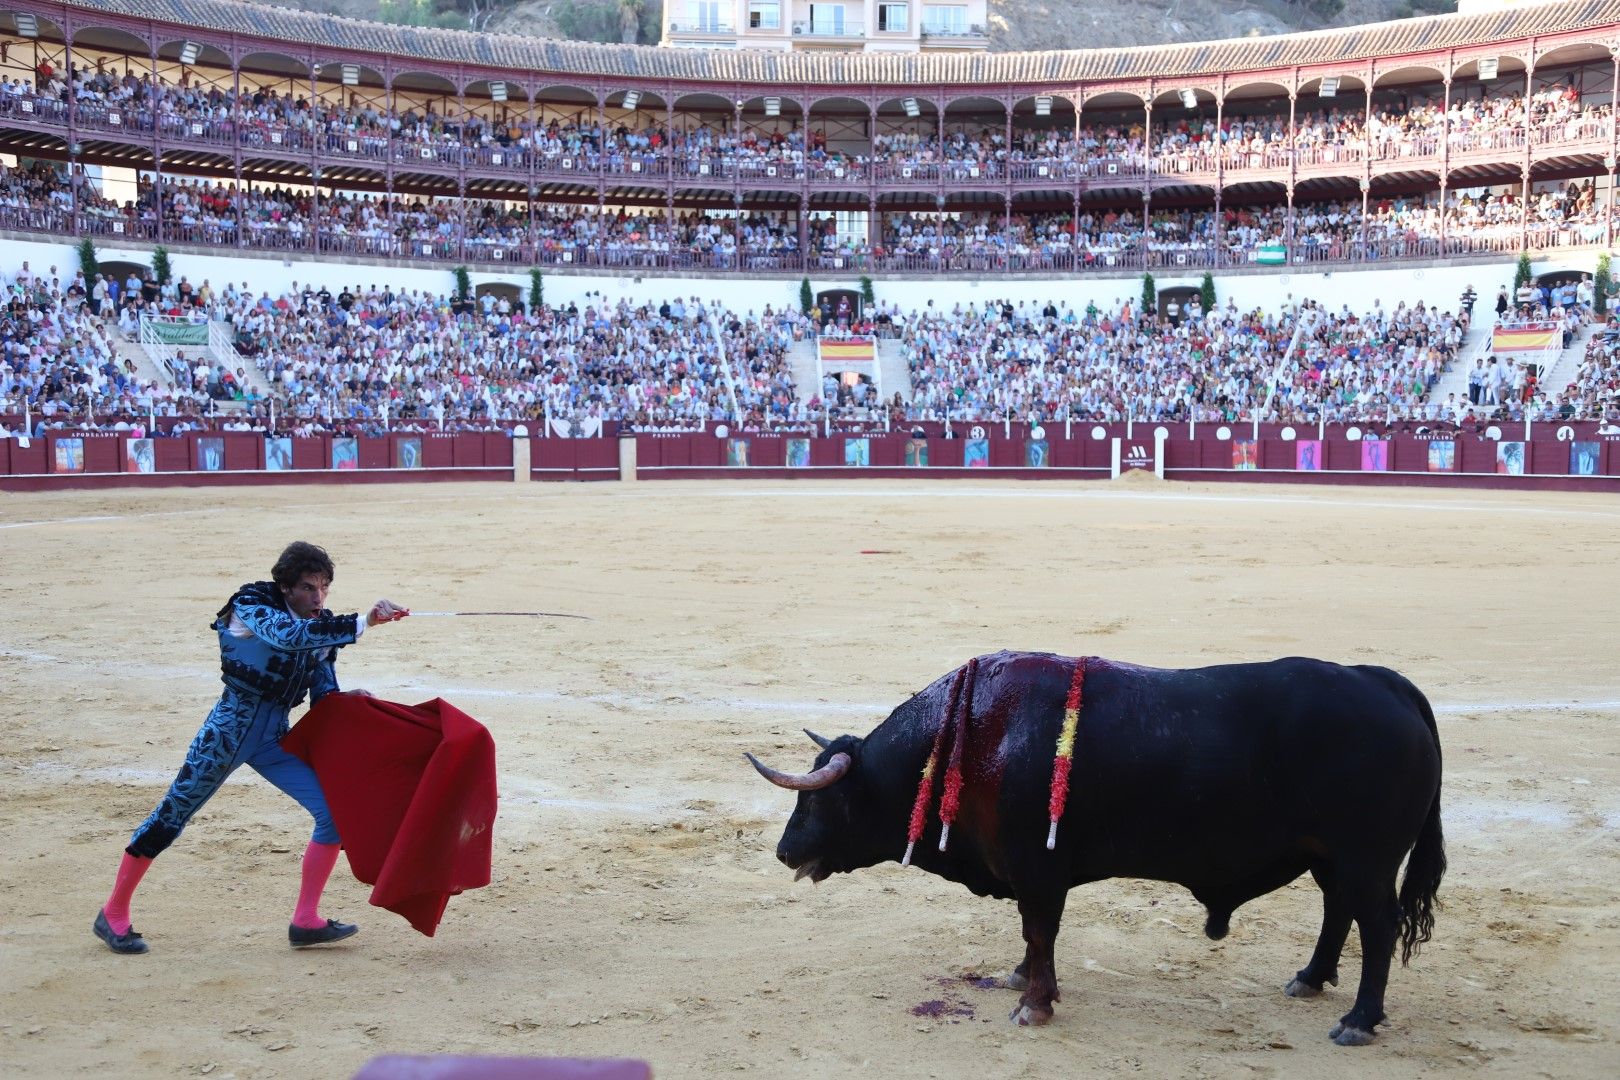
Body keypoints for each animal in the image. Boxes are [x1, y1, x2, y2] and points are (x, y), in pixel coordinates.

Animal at [745, 654, 1445, 1042]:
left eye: (819, 800)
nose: (783, 852)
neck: (975, 735)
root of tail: (1386, 684)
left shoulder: (1038, 870)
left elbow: (1039, 929)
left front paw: (1033, 1005)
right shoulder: (1032, 874)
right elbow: (1033, 937)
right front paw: (1024, 982)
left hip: (1366, 859)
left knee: (1377, 926)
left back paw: (1358, 1020)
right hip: (1332, 858)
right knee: (1338, 912)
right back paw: (1309, 979)